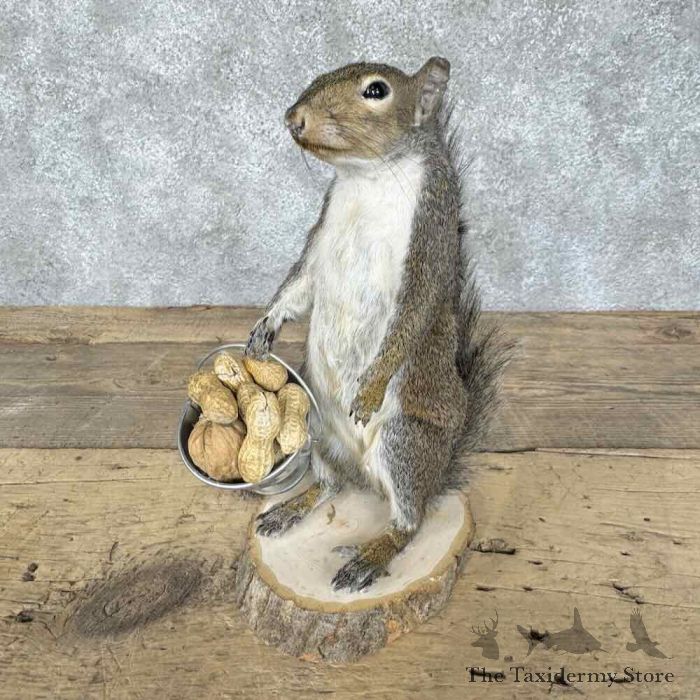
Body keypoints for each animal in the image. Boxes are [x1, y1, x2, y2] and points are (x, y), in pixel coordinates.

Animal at [246, 57, 510, 592]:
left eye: (376, 91)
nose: (294, 118)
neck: (367, 177)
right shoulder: (321, 236)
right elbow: (299, 285)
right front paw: (264, 328)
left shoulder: (428, 239)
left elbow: (412, 315)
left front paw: (368, 389)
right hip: (316, 428)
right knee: (331, 487)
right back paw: (292, 508)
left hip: (403, 442)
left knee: (408, 522)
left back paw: (371, 556)